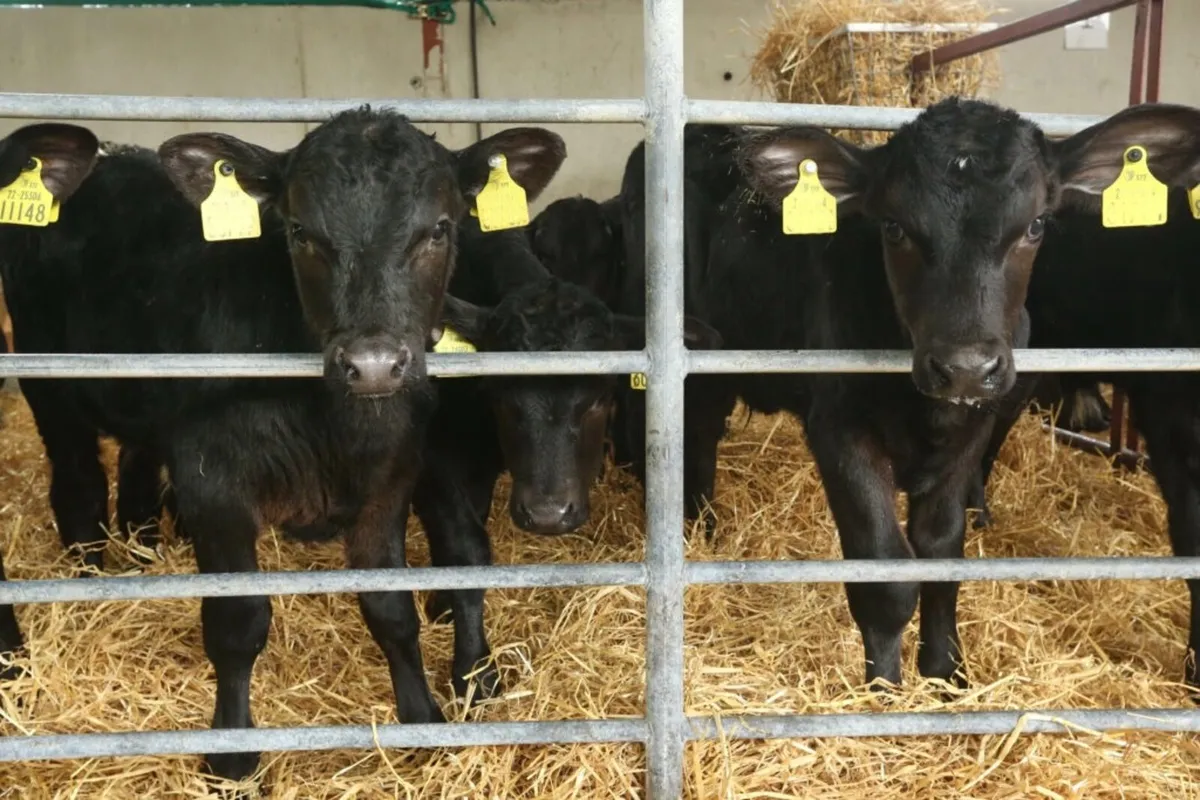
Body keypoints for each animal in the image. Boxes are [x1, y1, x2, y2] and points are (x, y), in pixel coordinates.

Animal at [0, 108, 566, 781]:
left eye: (439, 229)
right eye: (299, 231)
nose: (373, 364)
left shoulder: (389, 478)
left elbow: (391, 610)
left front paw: (422, 721)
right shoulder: (213, 482)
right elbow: (238, 623)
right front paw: (233, 755)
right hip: (51, 388)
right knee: (79, 489)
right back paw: (92, 589)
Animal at [613, 98, 1200, 692]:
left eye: (1035, 226)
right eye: (894, 228)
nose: (965, 367)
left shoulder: (973, 429)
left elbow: (940, 553)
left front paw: (945, 671)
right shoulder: (839, 429)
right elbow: (885, 568)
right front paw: (884, 688)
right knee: (690, 432)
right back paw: (696, 527)